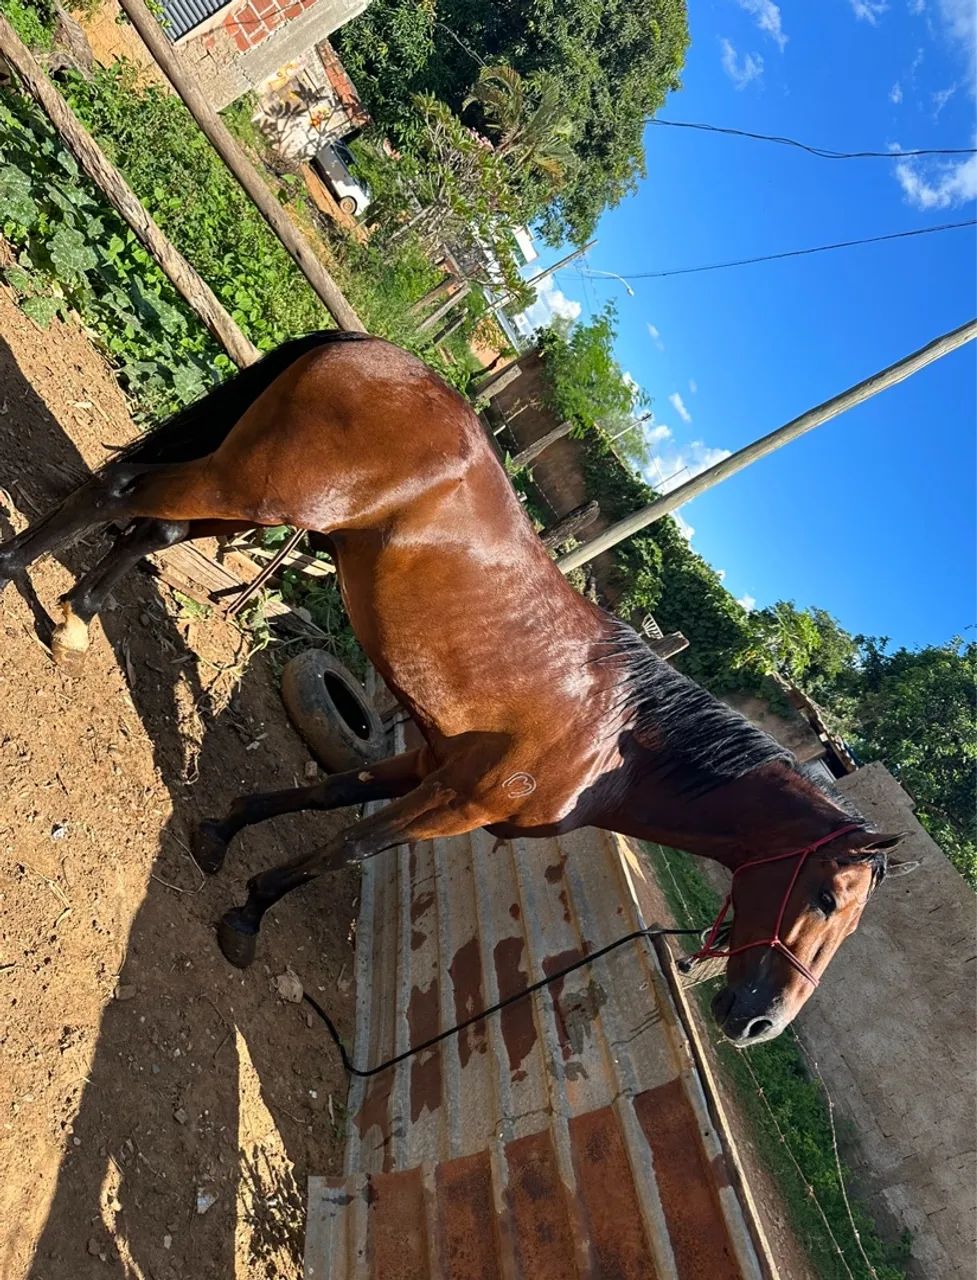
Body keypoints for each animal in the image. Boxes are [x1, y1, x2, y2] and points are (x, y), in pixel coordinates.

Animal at [0, 330, 902, 1045]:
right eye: (827, 898)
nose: (758, 1022)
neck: (613, 742)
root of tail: (371, 350)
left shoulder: (430, 765)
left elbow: (325, 793)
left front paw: (222, 833)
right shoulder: (457, 803)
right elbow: (350, 844)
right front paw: (248, 916)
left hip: (250, 500)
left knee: (151, 524)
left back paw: (74, 617)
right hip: (251, 489)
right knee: (123, 493)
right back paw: (16, 567)